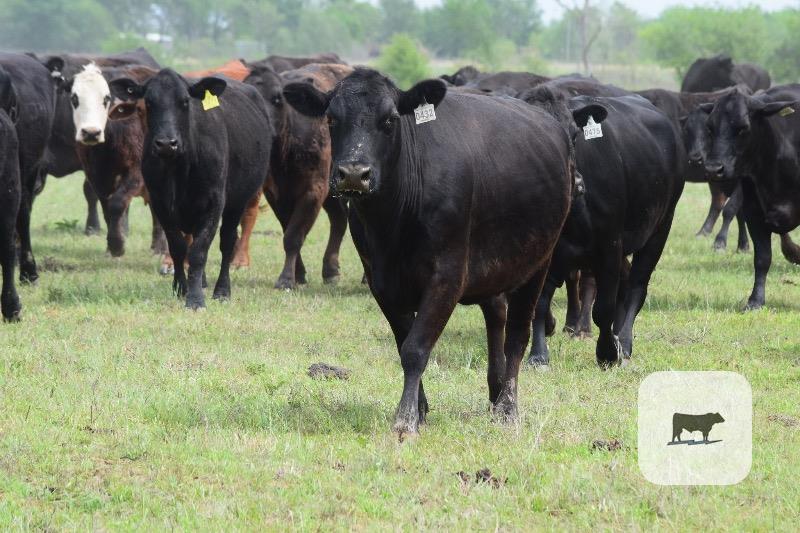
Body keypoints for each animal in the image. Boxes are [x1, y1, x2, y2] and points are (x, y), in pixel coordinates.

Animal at [109, 69, 273, 309]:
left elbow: (199, 251)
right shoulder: (161, 203)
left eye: (185, 101)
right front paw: (181, 288)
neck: (179, 169)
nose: (166, 143)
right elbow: (178, 247)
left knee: (227, 242)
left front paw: (195, 299)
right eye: (149, 102)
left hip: (237, 202)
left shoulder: (214, 204)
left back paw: (222, 290)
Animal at [243, 62, 353, 288]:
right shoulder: (276, 194)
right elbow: (288, 230)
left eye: (277, 98)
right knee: (339, 219)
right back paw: (331, 270)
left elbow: (294, 236)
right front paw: (299, 274)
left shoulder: (314, 189)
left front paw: (286, 279)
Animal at [284, 68, 573, 434]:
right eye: (331, 118)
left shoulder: (446, 277)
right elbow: (403, 343)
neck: (393, 223)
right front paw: (420, 411)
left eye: (390, 120)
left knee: (517, 335)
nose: (353, 174)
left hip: (538, 262)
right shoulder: (382, 283)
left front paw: (406, 419)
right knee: (496, 317)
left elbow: (416, 348)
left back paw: (508, 407)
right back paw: (494, 394)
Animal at [522, 86, 685, 367]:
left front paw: (607, 352)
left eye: (574, 134)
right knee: (626, 281)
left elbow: (603, 308)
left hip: (660, 228)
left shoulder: (609, 244)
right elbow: (539, 304)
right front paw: (538, 355)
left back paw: (625, 343)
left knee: (637, 287)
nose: (576, 184)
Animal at [702, 85, 800, 309]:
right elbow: (762, 258)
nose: (713, 169)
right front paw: (755, 300)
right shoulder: (753, 212)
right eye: (710, 128)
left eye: (743, 128)